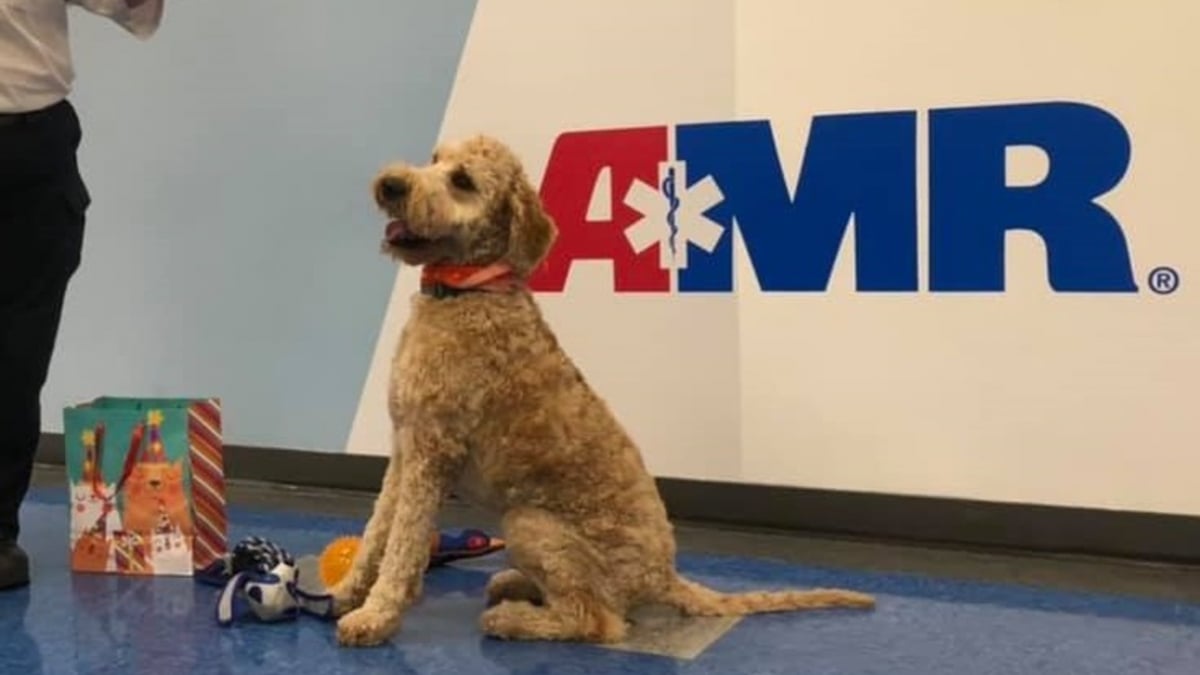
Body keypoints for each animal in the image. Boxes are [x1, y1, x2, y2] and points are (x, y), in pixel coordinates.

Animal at [328, 133, 873, 643]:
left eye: (462, 180)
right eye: (435, 158)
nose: (391, 184)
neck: (466, 291)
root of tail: (665, 577)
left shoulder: (432, 453)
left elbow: (402, 546)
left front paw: (375, 615)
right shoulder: (406, 448)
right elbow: (378, 530)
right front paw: (345, 593)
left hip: (530, 523)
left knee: (597, 620)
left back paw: (514, 617)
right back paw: (515, 585)